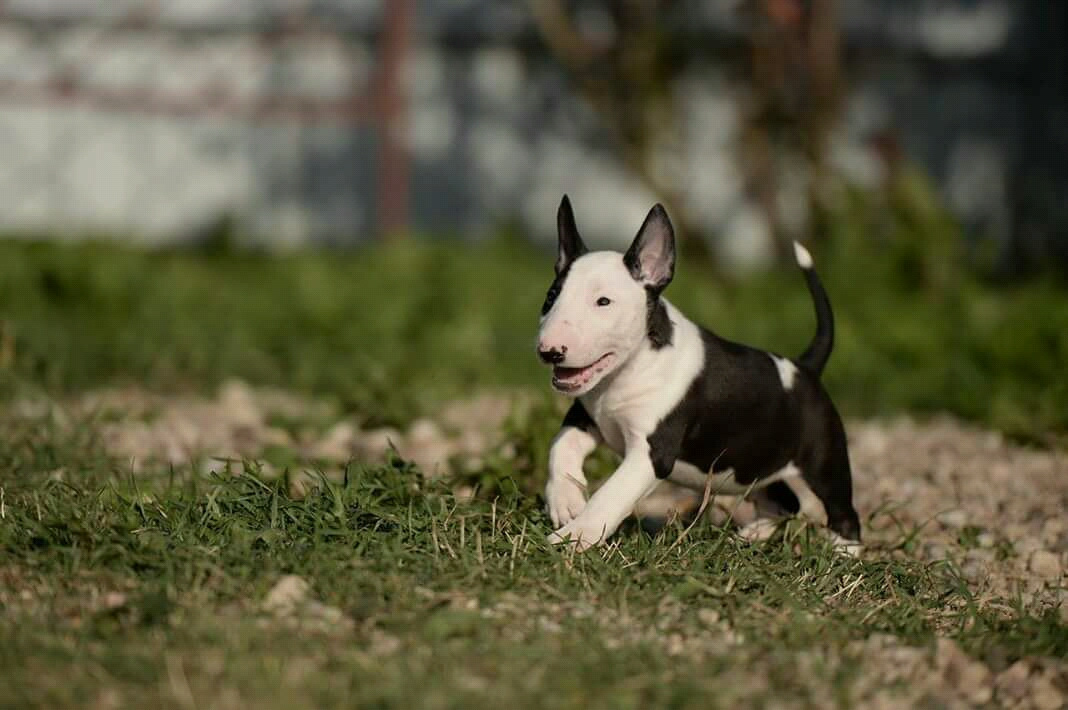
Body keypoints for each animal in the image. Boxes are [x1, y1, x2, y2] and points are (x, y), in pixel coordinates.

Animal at [534, 195, 858, 555]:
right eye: (550, 297)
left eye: (603, 302)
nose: (549, 351)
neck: (631, 368)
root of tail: (806, 367)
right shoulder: (585, 416)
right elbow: (560, 447)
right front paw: (566, 501)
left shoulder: (652, 453)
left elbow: (611, 494)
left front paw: (576, 536)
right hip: (759, 460)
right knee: (783, 502)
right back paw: (753, 534)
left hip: (822, 463)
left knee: (843, 511)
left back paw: (845, 553)